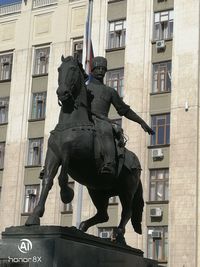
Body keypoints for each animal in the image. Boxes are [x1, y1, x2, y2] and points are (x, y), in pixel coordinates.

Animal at [25, 55, 144, 244]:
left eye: (73, 69)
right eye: (59, 69)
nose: (62, 93)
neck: (71, 122)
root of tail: (137, 163)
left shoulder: (75, 155)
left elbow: (63, 176)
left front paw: (67, 194)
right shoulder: (53, 155)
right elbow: (48, 180)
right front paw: (34, 216)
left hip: (127, 189)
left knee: (127, 211)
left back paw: (118, 236)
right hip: (97, 190)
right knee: (104, 215)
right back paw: (82, 227)